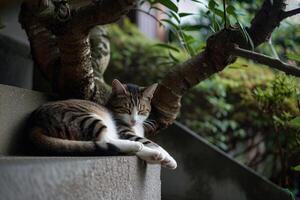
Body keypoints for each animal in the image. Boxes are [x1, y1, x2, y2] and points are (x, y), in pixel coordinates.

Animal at [29, 79, 177, 170]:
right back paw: (135, 146)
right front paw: (168, 157)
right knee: (105, 140)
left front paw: (160, 158)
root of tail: (35, 123)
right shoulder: (124, 131)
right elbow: (151, 143)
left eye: (141, 110)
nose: (133, 120)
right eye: (126, 109)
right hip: (85, 118)